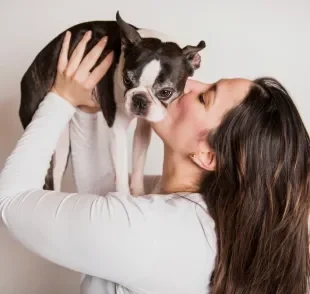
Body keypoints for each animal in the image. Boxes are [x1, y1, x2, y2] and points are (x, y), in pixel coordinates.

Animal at [18, 11, 205, 195]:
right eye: (126, 80)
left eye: (166, 92)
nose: (139, 99)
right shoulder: (117, 129)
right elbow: (121, 173)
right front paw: (125, 197)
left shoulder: (144, 126)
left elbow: (139, 159)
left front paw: (138, 192)